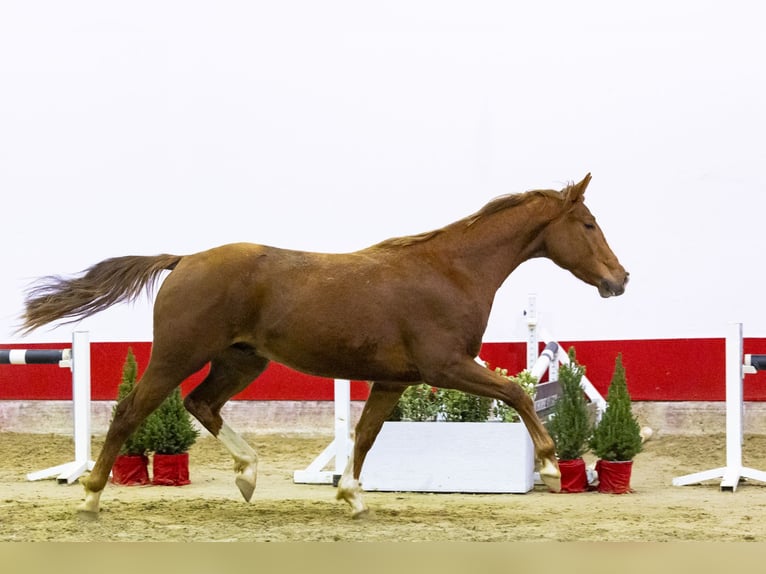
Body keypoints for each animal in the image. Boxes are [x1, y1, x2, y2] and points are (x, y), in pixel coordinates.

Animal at [19, 173, 632, 520]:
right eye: (588, 223)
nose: (620, 279)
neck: (451, 271)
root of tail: (183, 259)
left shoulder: (395, 379)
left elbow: (365, 434)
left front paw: (352, 496)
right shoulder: (447, 366)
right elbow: (518, 394)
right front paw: (550, 467)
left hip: (241, 361)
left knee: (201, 404)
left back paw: (248, 475)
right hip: (176, 355)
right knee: (130, 411)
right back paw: (91, 495)